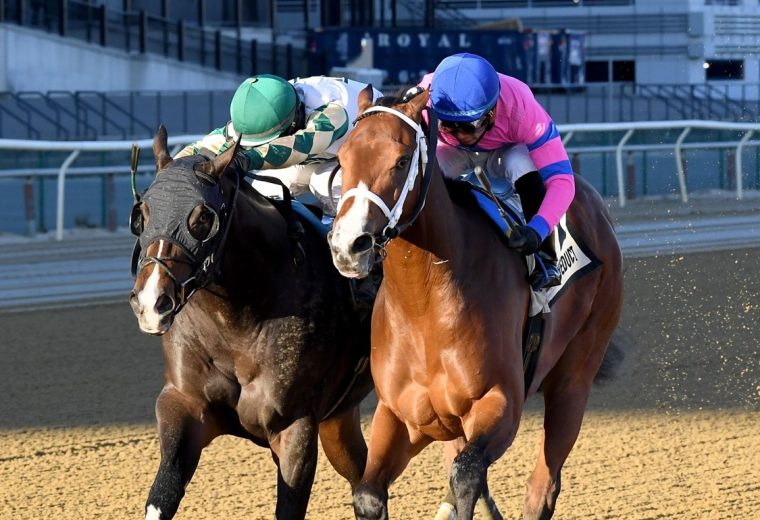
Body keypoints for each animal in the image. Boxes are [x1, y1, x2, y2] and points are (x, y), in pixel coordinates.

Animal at [129, 126, 372, 520]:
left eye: (202, 217)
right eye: (143, 212)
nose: (151, 301)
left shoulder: (295, 425)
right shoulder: (183, 404)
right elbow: (162, 495)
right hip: (341, 414)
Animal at [328, 90, 624, 520]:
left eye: (401, 161)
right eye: (343, 157)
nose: (349, 245)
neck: (425, 304)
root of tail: (595, 204)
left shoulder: (501, 404)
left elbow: (466, 474)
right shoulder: (401, 415)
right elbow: (368, 493)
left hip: (575, 375)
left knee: (542, 486)